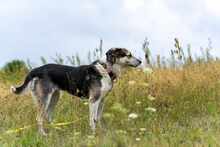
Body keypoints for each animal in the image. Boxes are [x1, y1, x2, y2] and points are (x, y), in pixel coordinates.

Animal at [10, 48, 142, 136]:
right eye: (128, 55)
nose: (140, 61)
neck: (106, 69)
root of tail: (35, 70)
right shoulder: (93, 100)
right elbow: (93, 119)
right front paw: (94, 134)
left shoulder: (102, 100)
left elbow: (98, 118)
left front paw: (102, 132)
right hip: (44, 98)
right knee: (39, 118)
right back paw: (44, 134)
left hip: (55, 97)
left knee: (48, 115)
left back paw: (56, 130)